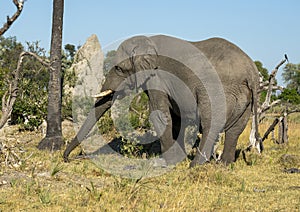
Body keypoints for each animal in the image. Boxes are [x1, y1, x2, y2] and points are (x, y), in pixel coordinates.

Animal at [63, 34, 260, 167]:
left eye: (118, 68)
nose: (67, 158)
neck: (146, 43)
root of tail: (251, 72)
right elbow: (176, 118)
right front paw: (177, 158)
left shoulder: (157, 76)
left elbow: (158, 114)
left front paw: (169, 162)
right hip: (245, 98)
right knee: (236, 129)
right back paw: (225, 165)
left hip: (216, 88)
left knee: (210, 122)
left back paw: (195, 166)